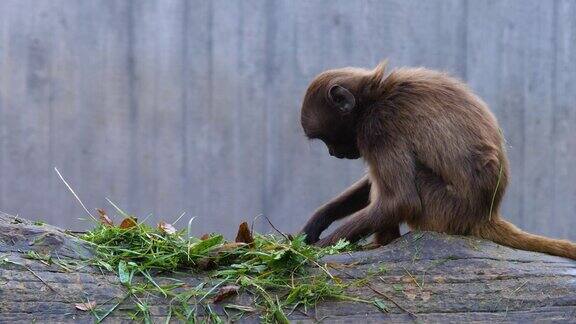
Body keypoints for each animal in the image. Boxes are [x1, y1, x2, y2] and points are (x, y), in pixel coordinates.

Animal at [302, 60, 576, 260]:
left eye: (327, 140)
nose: (332, 153)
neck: (376, 96)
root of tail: (485, 213)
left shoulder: (378, 128)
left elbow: (401, 201)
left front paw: (312, 251)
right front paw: (316, 223)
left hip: (443, 209)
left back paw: (384, 243)